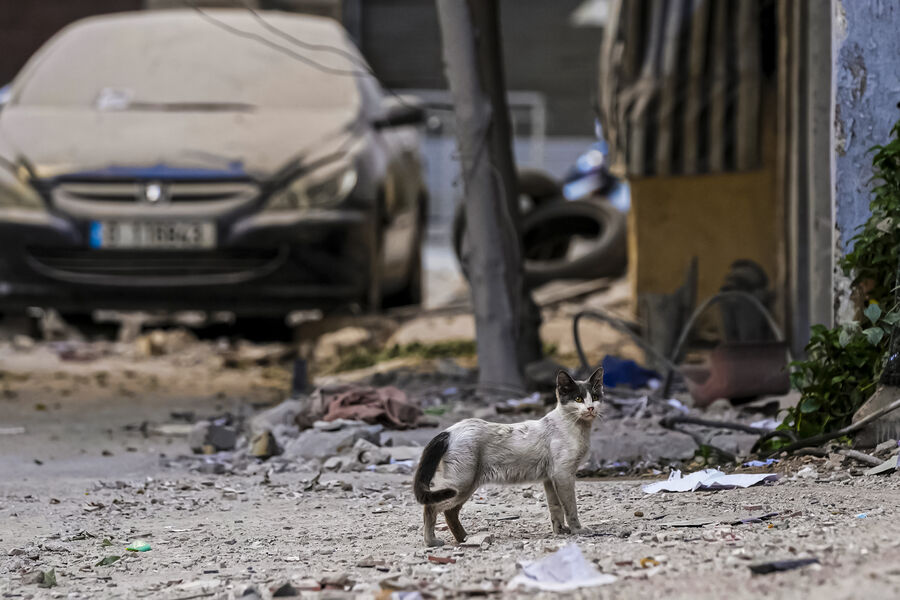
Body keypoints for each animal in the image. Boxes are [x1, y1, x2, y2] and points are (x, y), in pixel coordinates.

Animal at [414, 368, 604, 548]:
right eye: (578, 399)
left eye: (595, 397)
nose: (591, 408)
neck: (578, 428)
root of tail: (448, 431)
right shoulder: (563, 475)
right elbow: (571, 507)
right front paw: (578, 530)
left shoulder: (550, 479)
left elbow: (555, 507)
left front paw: (560, 531)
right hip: (460, 485)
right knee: (431, 507)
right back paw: (432, 542)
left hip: (466, 487)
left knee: (450, 512)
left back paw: (464, 539)